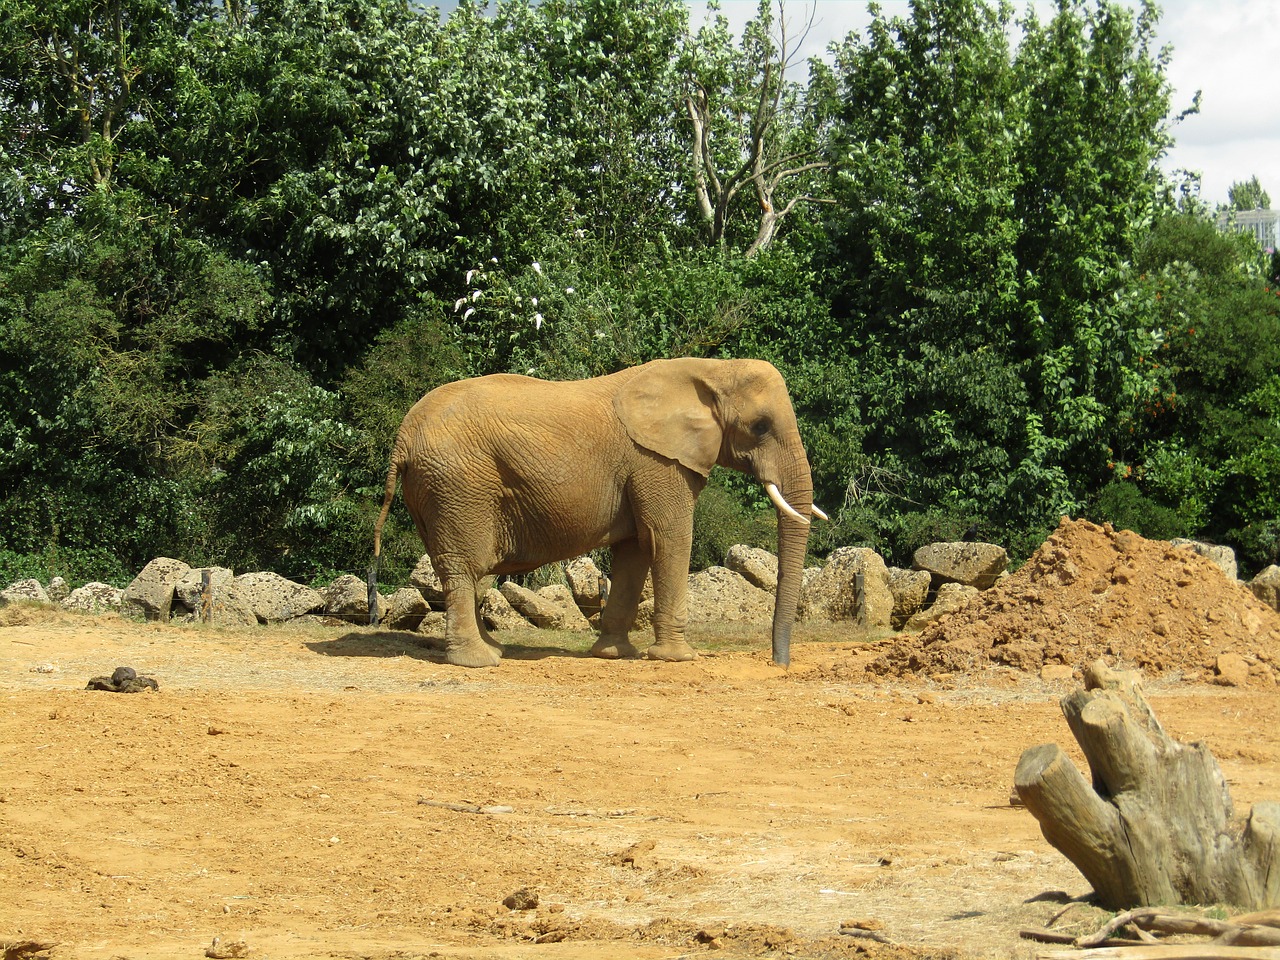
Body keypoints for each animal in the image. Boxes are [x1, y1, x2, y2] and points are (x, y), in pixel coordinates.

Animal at [370, 357, 824, 668]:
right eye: (761, 426)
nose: (778, 664)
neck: (711, 370)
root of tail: (403, 436)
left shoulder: (644, 469)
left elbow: (636, 550)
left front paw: (614, 654)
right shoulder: (657, 462)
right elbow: (669, 538)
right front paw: (678, 658)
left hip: (440, 489)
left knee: (469, 570)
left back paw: (492, 649)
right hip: (458, 484)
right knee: (465, 566)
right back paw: (480, 662)